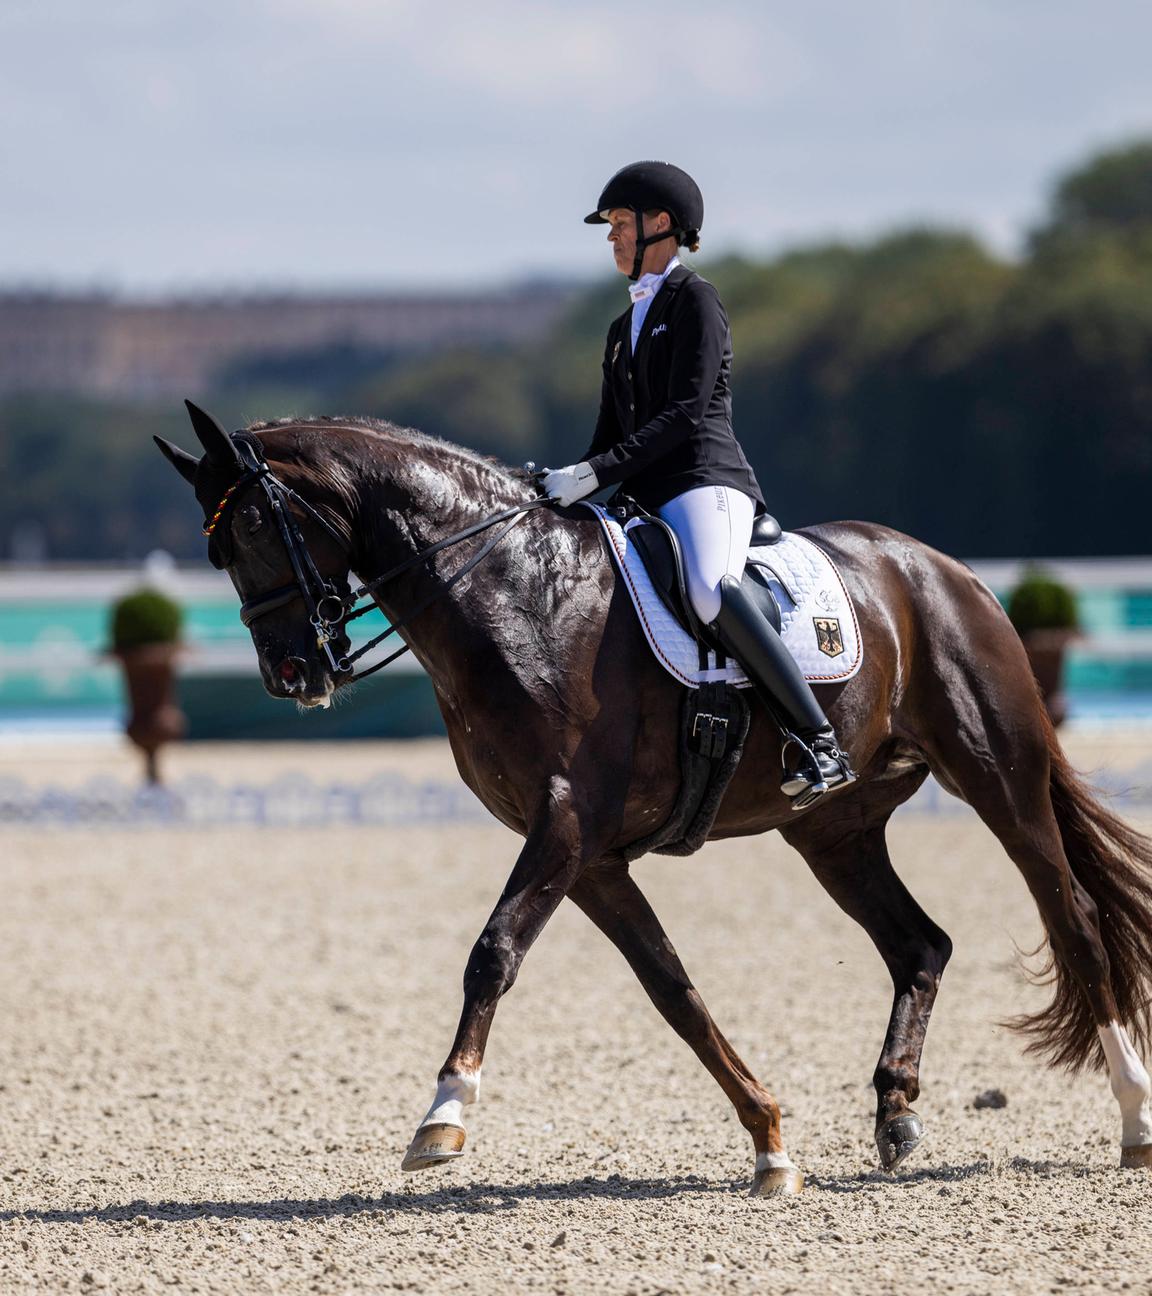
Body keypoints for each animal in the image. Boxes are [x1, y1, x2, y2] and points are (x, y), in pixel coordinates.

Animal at [154, 401, 1150, 1192]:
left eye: (253, 528)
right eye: (216, 548)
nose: (291, 675)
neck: (511, 595)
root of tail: (949, 572)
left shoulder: (565, 823)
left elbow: (492, 955)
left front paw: (444, 1115)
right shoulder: (591, 856)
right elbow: (673, 990)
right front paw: (770, 1143)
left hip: (999, 780)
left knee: (1074, 922)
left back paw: (1135, 1120)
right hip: (833, 831)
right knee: (921, 944)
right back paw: (897, 1114)